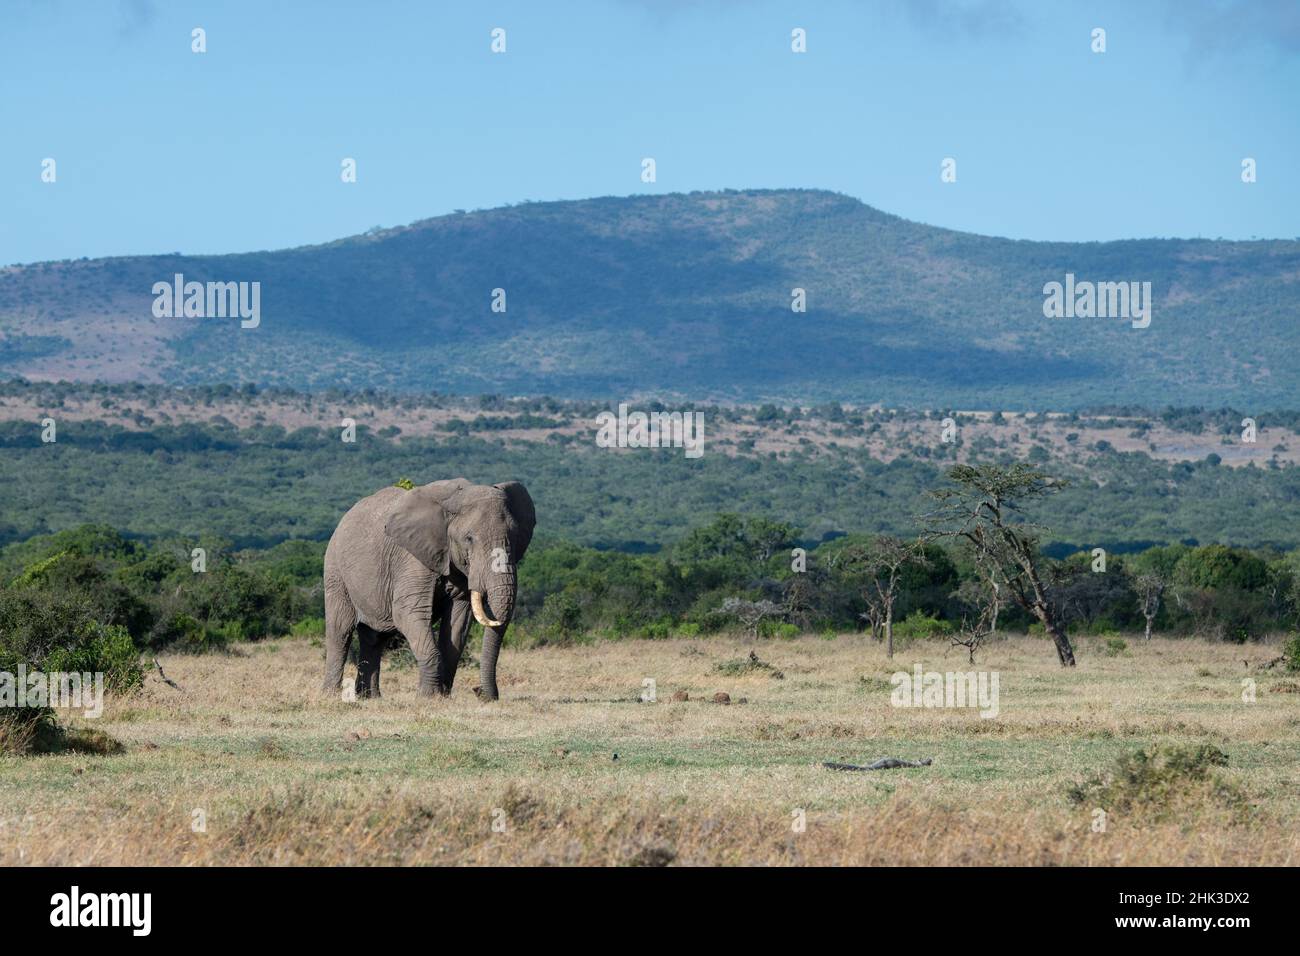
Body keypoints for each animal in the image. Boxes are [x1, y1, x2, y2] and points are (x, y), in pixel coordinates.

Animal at [322, 478, 535, 702]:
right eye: (469, 539)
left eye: (515, 537)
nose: (480, 692)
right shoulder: (412, 558)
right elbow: (408, 613)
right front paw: (428, 696)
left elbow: (458, 621)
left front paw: (443, 696)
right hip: (335, 571)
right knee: (340, 631)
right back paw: (331, 695)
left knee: (374, 638)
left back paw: (370, 697)